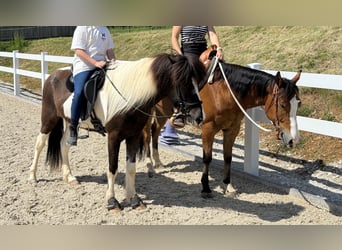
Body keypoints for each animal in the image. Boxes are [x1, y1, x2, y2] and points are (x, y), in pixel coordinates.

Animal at [27, 53, 206, 211]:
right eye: (183, 81)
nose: (199, 116)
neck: (129, 97)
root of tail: (53, 75)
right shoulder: (113, 137)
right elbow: (112, 168)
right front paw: (112, 202)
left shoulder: (133, 135)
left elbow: (131, 168)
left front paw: (134, 199)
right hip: (49, 118)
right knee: (39, 143)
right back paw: (32, 177)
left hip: (70, 122)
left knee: (64, 145)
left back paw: (69, 177)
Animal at [140, 46, 300, 198]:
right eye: (282, 105)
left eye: (298, 103)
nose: (293, 139)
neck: (225, 92)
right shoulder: (208, 129)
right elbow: (207, 158)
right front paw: (205, 188)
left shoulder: (232, 129)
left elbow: (227, 158)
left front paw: (228, 186)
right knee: (147, 134)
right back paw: (149, 165)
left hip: (162, 113)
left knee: (155, 131)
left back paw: (158, 162)